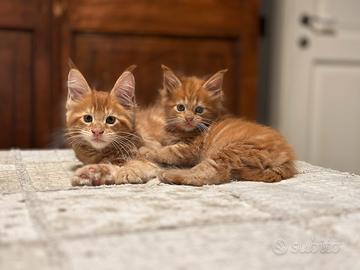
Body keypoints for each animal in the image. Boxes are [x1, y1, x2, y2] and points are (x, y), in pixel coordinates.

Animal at [66, 65, 296, 186]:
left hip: (228, 150)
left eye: (110, 120)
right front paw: (90, 173)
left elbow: (147, 160)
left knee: (213, 173)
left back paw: (171, 175)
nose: (97, 131)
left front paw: (125, 171)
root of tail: (288, 157)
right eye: (88, 119)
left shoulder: (168, 153)